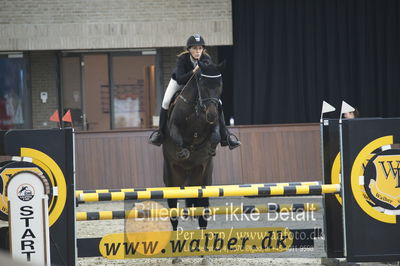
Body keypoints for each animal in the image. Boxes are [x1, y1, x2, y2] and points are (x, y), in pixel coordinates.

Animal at [162, 61, 225, 231]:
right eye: (202, 85)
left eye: (220, 85)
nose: (212, 115)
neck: (198, 107)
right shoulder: (174, 127)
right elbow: (177, 138)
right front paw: (184, 153)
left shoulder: (213, 126)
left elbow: (215, 136)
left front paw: (211, 149)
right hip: (171, 183)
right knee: (173, 214)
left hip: (203, 181)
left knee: (203, 212)